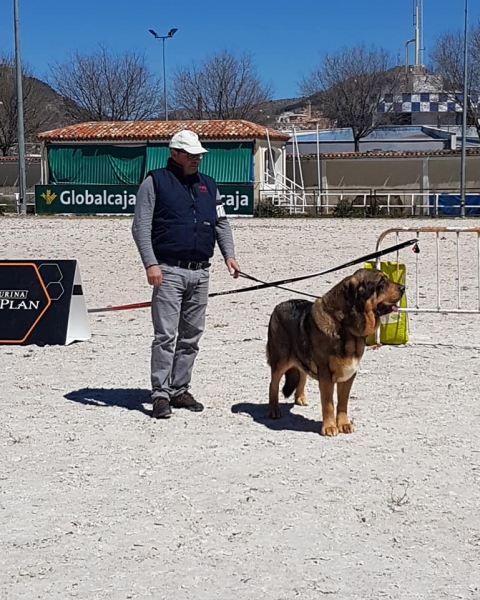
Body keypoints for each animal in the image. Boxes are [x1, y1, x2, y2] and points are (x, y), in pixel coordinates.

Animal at [266, 268, 404, 436]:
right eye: (381, 282)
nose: (403, 287)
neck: (345, 326)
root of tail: (278, 306)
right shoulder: (326, 375)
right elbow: (328, 404)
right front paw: (330, 427)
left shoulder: (349, 375)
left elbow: (343, 403)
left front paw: (344, 424)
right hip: (281, 360)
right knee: (273, 384)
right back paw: (273, 410)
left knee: (302, 375)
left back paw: (300, 398)